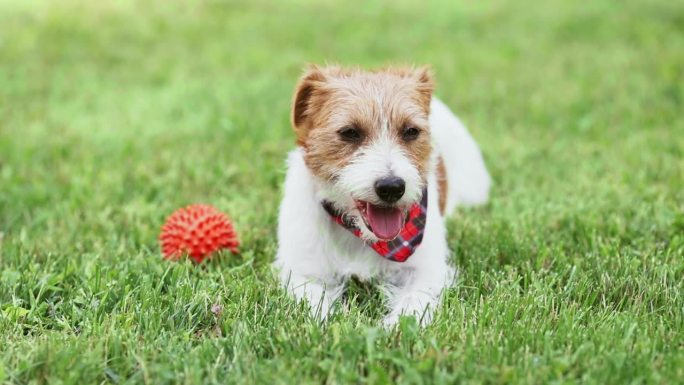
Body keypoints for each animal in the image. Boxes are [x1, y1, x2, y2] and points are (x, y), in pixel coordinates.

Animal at [272, 64, 492, 326]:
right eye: (349, 132)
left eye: (411, 131)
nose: (392, 187)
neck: (363, 237)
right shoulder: (305, 273)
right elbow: (316, 307)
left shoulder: (426, 272)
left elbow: (413, 304)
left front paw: (394, 329)